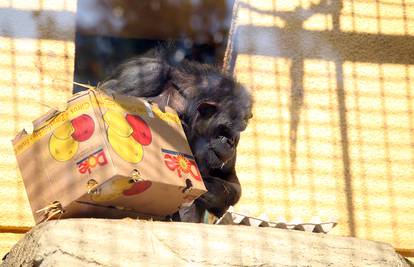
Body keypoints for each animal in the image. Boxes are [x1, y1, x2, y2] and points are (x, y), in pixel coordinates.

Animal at [101, 49, 252, 222]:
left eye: (239, 129)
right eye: (225, 127)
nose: (230, 142)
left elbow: (231, 180)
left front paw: (208, 187)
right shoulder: (144, 73)